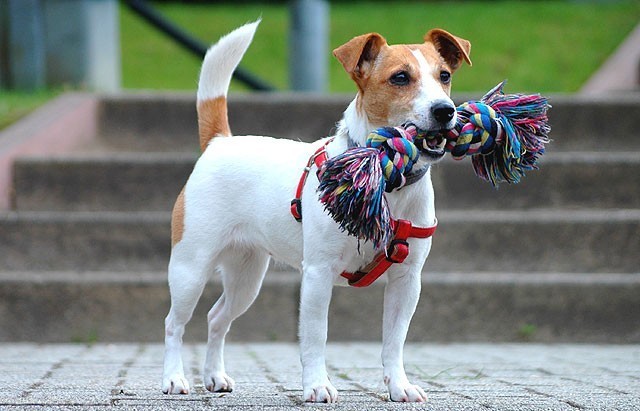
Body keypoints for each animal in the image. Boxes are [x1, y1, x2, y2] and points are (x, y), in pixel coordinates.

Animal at [161, 20, 470, 404]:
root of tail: (220, 142)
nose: (445, 110)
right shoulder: (318, 275)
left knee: (217, 318)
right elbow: (315, 336)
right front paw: (317, 385)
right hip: (190, 268)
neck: (384, 176)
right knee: (175, 323)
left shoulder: (407, 279)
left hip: (246, 277)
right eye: (400, 77)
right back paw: (174, 378)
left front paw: (399, 386)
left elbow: (394, 340)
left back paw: (215, 376)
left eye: (444, 76)